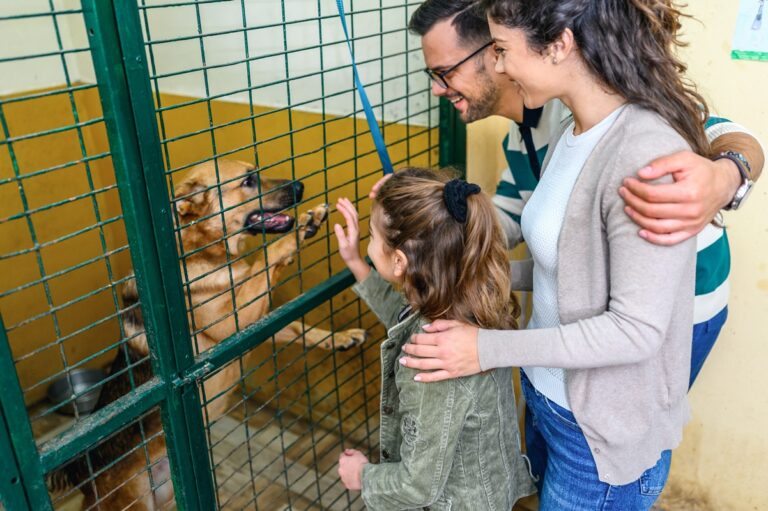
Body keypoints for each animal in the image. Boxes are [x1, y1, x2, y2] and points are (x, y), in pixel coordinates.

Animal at [50, 160, 367, 510]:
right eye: (248, 181)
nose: (300, 187)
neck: (203, 251)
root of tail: (82, 478)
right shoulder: (232, 322)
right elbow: (265, 259)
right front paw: (300, 232)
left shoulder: (253, 322)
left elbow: (301, 328)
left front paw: (342, 337)